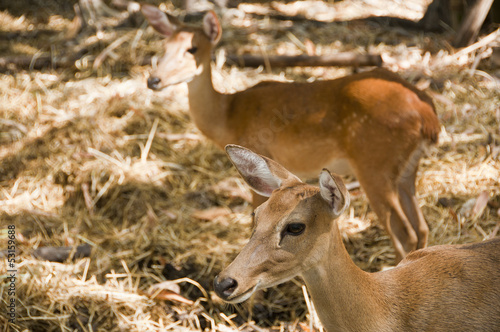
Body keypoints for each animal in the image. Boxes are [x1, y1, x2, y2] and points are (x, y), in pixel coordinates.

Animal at [142, 3, 442, 262]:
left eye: (192, 49)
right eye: (164, 47)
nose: (153, 80)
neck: (228, 115)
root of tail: (428, 115)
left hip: (374, 165)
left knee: (405, 232)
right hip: (405, 169)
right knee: (422, 227)